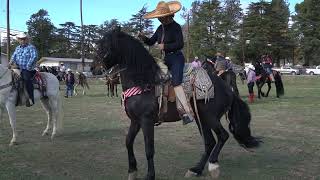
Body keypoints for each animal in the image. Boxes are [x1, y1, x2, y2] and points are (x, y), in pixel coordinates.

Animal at [95, 29, 260, 180]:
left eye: (106, 47)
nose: (93, 68)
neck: (143, 82)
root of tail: (227, 89)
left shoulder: (146, 121)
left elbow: (149, 149)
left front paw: (150, 175)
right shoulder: (135, 121)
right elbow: (128, 142)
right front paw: (132, 171)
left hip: (210, 117)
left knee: (223, 136)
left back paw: (213, 166)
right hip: (202, 119)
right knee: (210, 142)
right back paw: (196, 170)